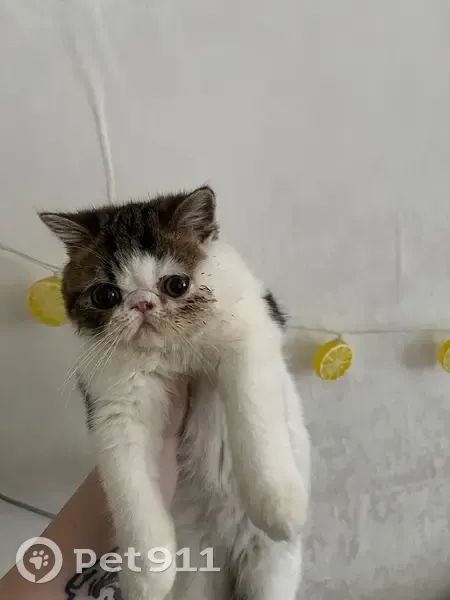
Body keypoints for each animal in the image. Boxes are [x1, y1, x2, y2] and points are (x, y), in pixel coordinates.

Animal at [40, 186, 310, 600]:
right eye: (105, 295)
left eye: (176, 285)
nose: (142, 303)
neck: (171, 351)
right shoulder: (114, 399)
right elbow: (126, 476)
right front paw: (147, 572)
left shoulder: (251, 333)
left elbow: (255, 415)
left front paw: (278, 504)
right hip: (198, 572)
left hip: (270, 570)